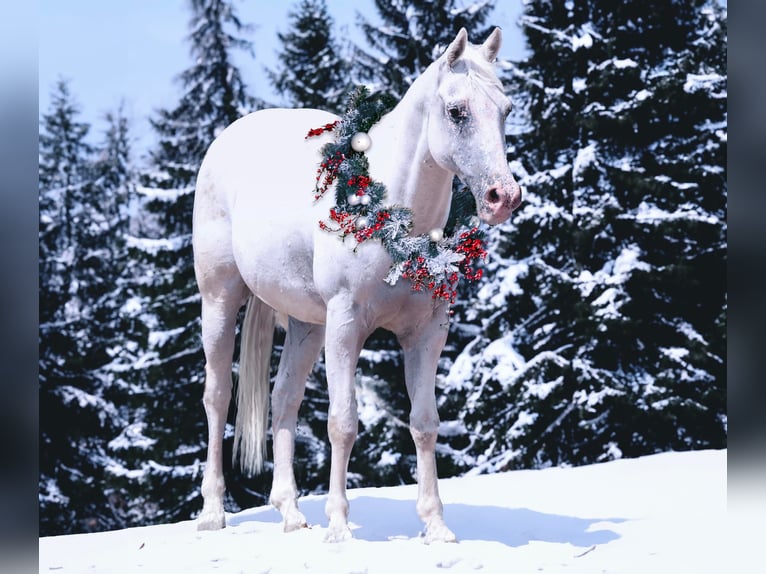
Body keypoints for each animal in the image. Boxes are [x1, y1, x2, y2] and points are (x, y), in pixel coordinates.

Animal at [195, 29, 524, 544]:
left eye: (506, 109)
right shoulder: (346, 326)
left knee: (283, 400)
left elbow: (424, 423)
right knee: (217, 397)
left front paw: (436, 526)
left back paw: (291, 513)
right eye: (457, 111)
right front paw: (338, 526)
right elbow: (343, 423)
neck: (395, 219)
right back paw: (213, 512)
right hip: (220, 300)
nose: (502, 197)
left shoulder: (427, 333)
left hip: (307, 326)